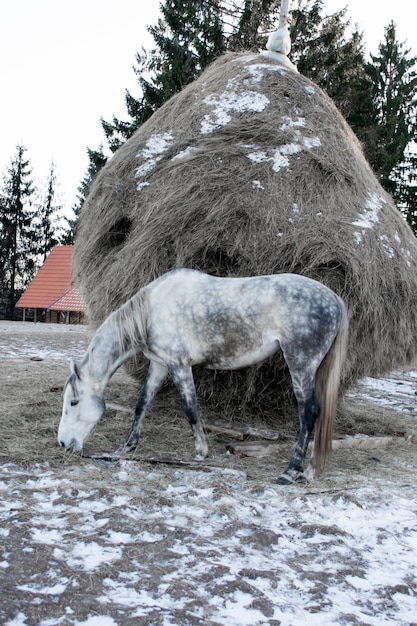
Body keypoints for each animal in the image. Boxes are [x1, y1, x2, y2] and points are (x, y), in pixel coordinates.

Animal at [57, 268, 346, 482]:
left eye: (73, 402)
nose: (63, 443)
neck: (151, 310)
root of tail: (335, 299)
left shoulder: (179, 365)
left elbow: (191, 408)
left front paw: (200, 453)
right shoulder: (160, 365)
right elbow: (142, 404)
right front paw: (126, 447)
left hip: (300, 365)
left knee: (309, 412)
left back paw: (291, 471)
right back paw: (309, 471)